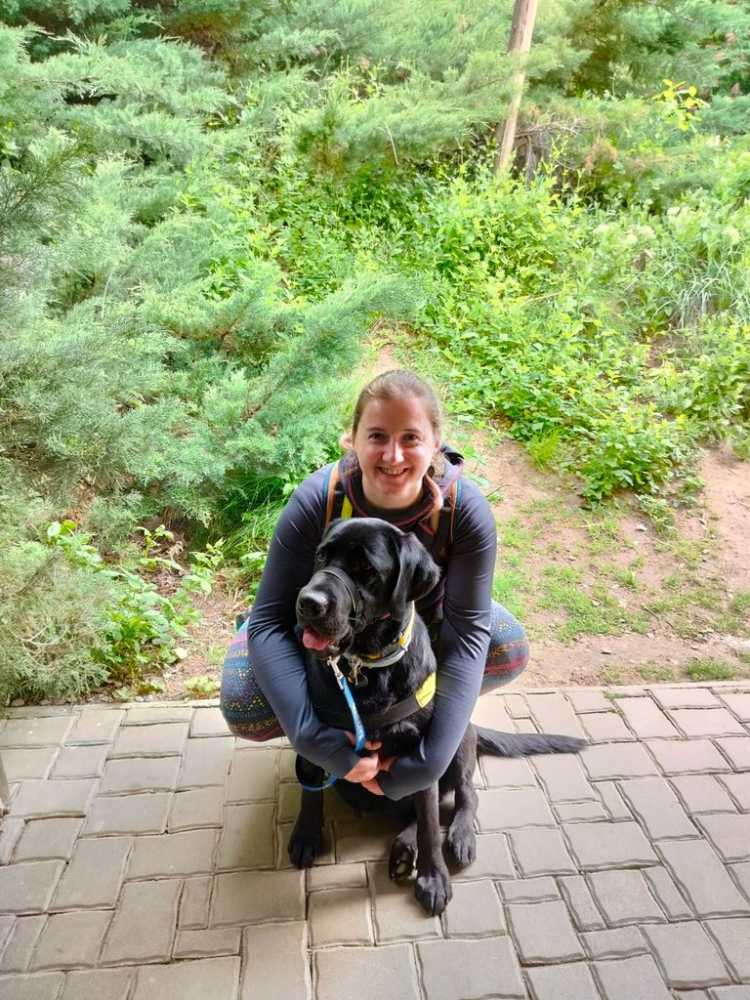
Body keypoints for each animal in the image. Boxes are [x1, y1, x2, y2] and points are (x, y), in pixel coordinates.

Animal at [291, 517, 585, 915]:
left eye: (364, 568)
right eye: (322, 555)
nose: (308, 602)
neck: (366, 667)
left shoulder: (423, 756)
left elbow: (431, 824)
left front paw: (433, 879)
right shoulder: (312, 736)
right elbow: (310, 791)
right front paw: (306, 835)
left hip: (457, 739)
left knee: (464, 795)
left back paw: (456, 837)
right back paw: (404, 848)